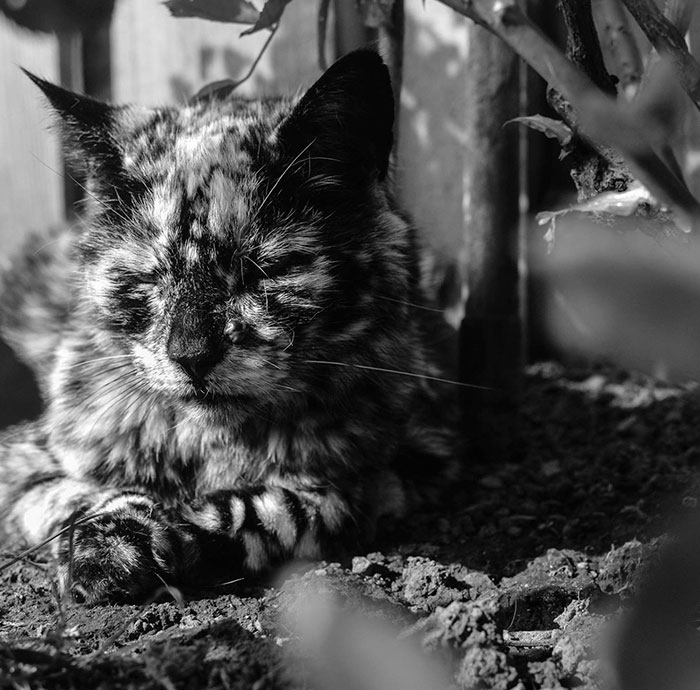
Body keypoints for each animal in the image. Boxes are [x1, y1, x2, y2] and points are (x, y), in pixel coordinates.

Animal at [0, 51, 460, 600]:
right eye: (151, 276)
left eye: (262, 272)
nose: (190, 355)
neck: (212, 446)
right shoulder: (21, 461)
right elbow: (84, 496)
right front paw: (110, 547)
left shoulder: (395, 472)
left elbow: (286, 510)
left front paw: (184, 534)